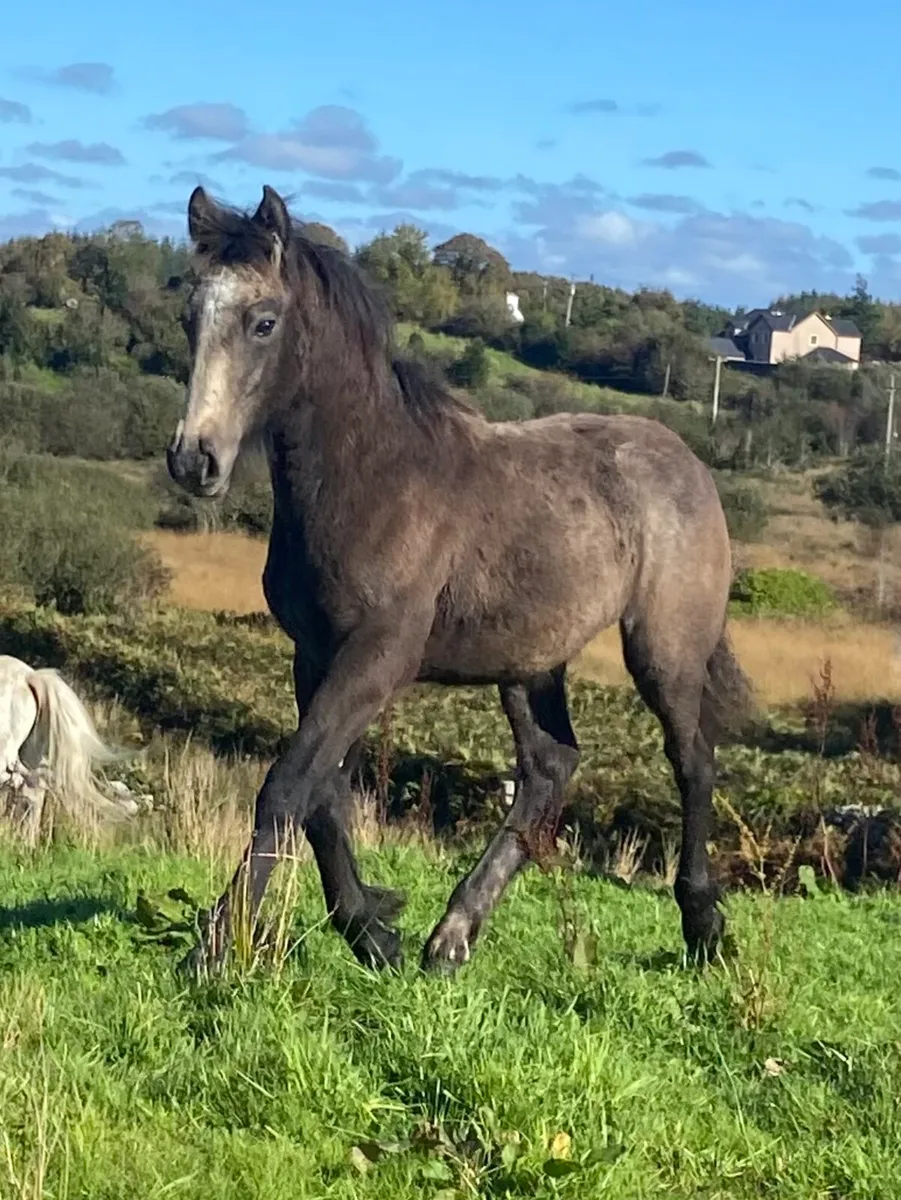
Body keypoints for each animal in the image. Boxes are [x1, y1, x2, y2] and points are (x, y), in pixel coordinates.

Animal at [167, 184, 754, 978]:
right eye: (189, 316)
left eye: (263, 321)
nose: (193, 460)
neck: (372, 479)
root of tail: (687, 461)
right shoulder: (314, 655)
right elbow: (324, 796)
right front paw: (372, 931)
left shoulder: (379, 655)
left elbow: (287, 787)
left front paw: (216, 947)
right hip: (530, 662)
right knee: (549, 766)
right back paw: (451, 936)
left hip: (665, 648)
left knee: (691, 761)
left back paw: (702, 926)